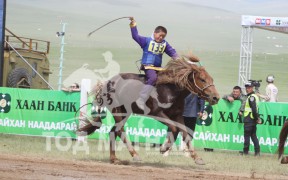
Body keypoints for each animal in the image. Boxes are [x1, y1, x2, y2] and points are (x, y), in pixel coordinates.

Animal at [76, 54, 218, 165]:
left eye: (211, 78)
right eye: (202, 79)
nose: (216, 97)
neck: (171, 90)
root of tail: (107, 83)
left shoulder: (178, 115)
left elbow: (184, 133)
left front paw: (197, 158)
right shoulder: (157, 113)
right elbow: (174, 128)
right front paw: (163, 148)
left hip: (125, 112)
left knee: (113, 131)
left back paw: (114, 159)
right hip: (118, 110)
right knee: (120, 130)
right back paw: (134, 154)